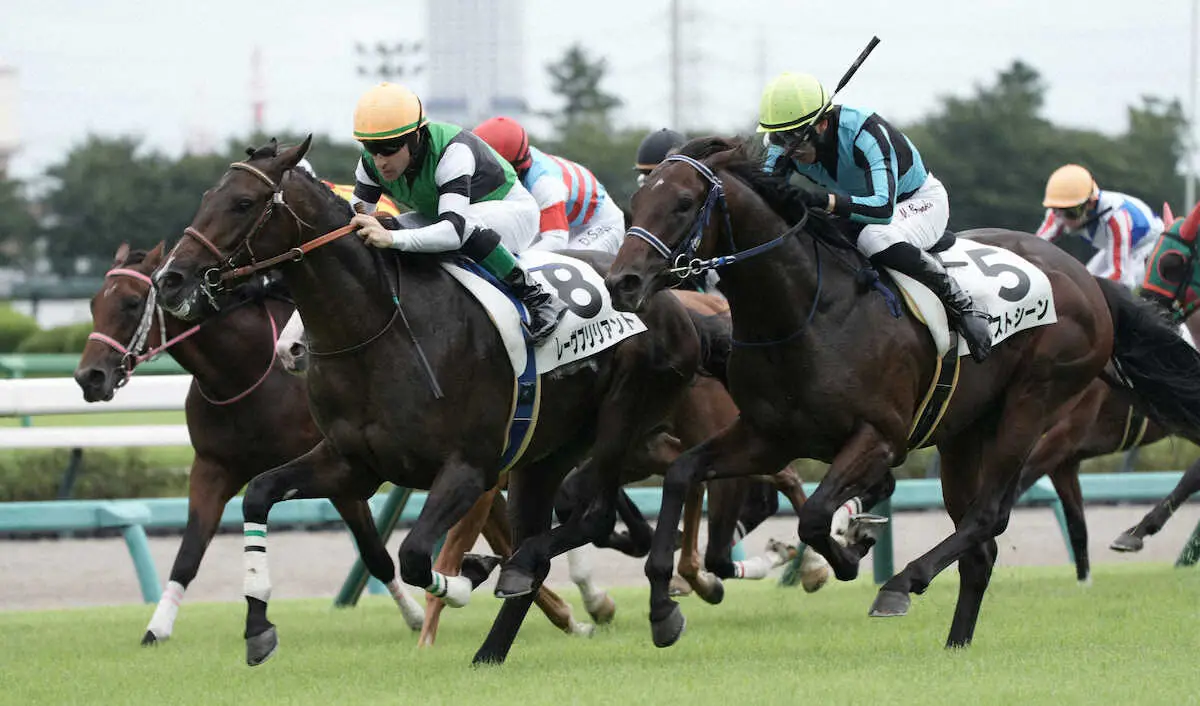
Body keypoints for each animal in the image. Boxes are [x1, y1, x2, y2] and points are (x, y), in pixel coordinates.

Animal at [76, 241, 427, 643]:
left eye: (132, 303)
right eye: (93, 304)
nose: (89, 377)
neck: (244, 374)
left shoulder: (341, 473)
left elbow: (374, 553)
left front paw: (416, 615)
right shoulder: (213, 468)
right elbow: (188, 554)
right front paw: (157, 628)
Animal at [154, 138, 705, 667]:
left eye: (243, 203)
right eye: (207, 196)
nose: (170, 279)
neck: (378, 329)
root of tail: (666, 299)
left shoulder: (469, 468)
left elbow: (417, 554)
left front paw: (468, 577)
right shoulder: (352, 464)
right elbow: (259, 494)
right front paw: (257, 627)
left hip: (622, 419)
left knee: (593, 516)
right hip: (545, 456)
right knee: (546, 538)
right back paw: (490, 650)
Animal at [609, 135, 1200, 648]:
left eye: (683, 203)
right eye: (635, 202)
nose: (622, 282)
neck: (806, 310)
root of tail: (1085, 279)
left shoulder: (880, 438)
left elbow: (816, 514)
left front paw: (851, 553)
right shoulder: (768, 437)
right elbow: (683, 472)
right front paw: (663, 608)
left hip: (1034, 401)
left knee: (989, 516)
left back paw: (902, 584)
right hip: (965, 430)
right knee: (980, 546)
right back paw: (955, 642)